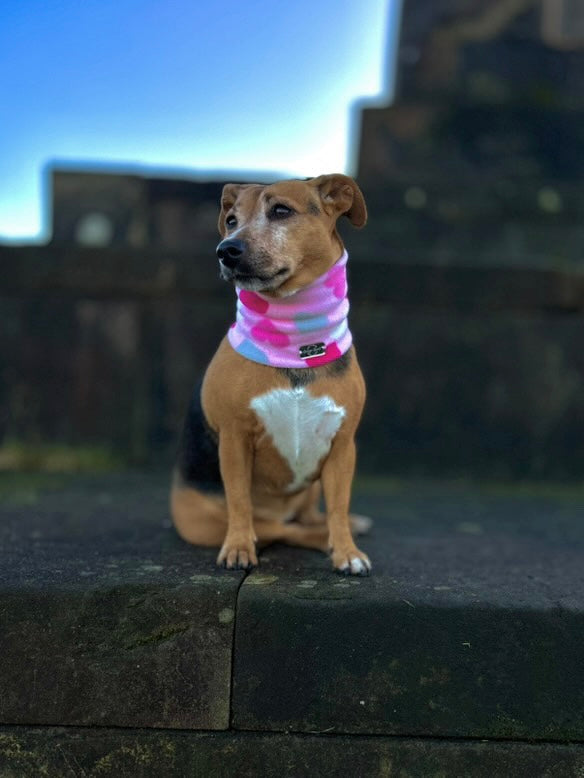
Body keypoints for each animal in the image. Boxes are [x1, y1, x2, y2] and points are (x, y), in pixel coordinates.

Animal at [169, 173, 372, 572]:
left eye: (281, 211)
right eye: (231, 220)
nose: (226, 249)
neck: (294, 347)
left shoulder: (343, 447)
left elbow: (339, 507)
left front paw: (346, 551)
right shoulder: (234, 441)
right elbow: (239, 501)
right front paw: (238, 548)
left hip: (313, 484)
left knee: (310, 516)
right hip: (205, 519)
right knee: (284, 530)